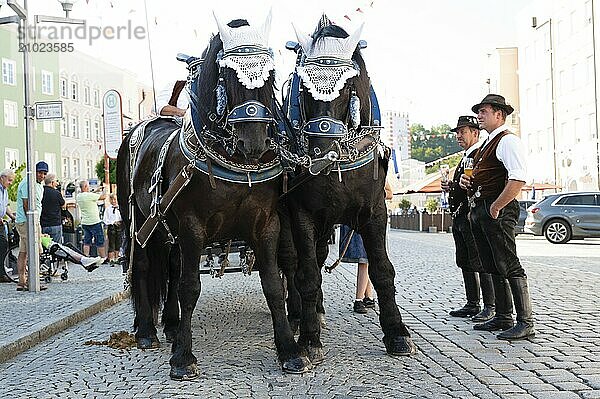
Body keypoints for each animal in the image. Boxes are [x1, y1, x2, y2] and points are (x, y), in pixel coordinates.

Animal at [119, 17, 312, 382]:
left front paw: (290, 351)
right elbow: (190, 286)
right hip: (138, 222)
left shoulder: (267, 225)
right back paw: (147, 331)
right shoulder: (192, 228)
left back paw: (171, 324)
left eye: (271, 75)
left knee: (170, 268)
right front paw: (182, 358)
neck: (235, 164)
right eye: (228, 74)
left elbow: (272, 284)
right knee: (145, 266)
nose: (254, 140)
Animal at [282, 18, 418, 362]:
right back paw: (299, 315)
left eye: (348, 86)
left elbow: (381, 269)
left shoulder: (375, 212)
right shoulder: (301, 214)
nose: (321, 153)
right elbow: (307, 273)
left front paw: (397, 333)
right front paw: (309, 338)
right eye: (303, 87)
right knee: (295, 265)